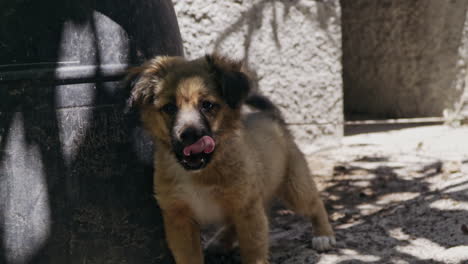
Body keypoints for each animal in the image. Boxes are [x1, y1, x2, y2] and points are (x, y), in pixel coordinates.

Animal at [127, 54, 336, 264]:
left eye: (207, 105)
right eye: (169, 108)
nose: (190, 136)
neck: (201, 173)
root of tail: (273, 118)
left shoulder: (247, 208)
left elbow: (253, 253)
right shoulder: (179, 218)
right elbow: (190, 257)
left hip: (295, 188)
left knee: (315, 203)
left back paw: (323, 235)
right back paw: (220, 242)